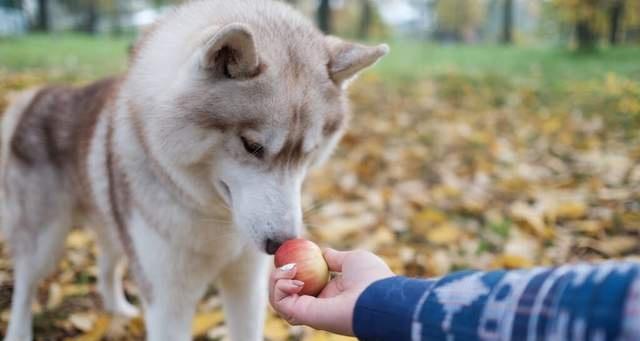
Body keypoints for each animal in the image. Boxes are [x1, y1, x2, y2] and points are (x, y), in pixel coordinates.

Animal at [0, 1, 384, 338]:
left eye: (309, 152)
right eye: (252, 145)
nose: (281, 243)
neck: (215, 217)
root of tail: (35, 96)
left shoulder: (246, 285)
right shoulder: (168, 301)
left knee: (107, 265)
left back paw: (118, 309)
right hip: (45, 243)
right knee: (25, 285)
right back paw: (19, 331)